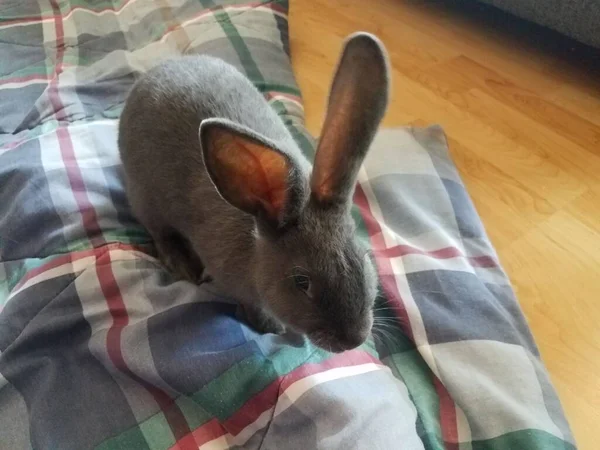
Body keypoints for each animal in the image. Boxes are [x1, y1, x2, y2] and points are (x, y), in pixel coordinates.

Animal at [118, 32, 390, 356]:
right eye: (301, 281)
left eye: (363, 259)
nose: (354, 340)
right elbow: (252, 306)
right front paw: (271, 327)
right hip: (145, 198)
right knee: (159, 231)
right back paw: (183, 264)